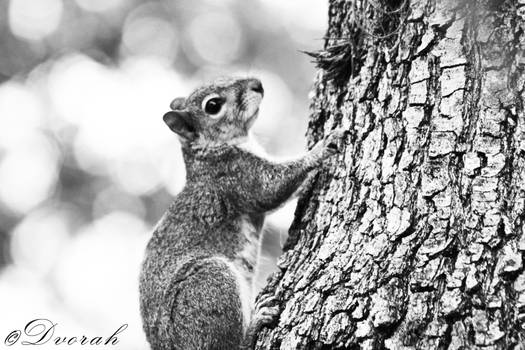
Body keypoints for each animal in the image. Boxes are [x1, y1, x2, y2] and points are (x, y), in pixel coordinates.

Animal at [139, 77, 344, 350]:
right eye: (213, 105)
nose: (257, 84)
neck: (210, 151)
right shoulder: (235, 176)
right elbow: (270, 189)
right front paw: (320, 149)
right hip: (209, 284)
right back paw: (255, 324)